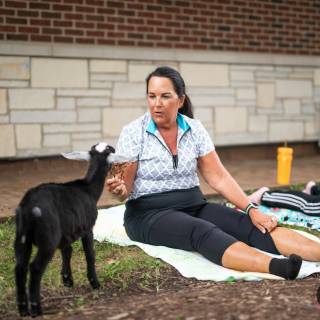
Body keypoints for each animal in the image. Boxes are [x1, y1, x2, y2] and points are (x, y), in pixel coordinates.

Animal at [14, 143, 116, 318]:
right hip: (48, 239)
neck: (89, 189)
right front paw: (95, 283)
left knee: (20, 268)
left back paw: (23, 309)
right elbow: (90, 255)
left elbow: (67, 252)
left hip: (22, 237)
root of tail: (29, 206)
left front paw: (67, 280)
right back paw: (36, 308)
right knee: (35, 268)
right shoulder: (87, 228)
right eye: (109, 150)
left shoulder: (66, 232)